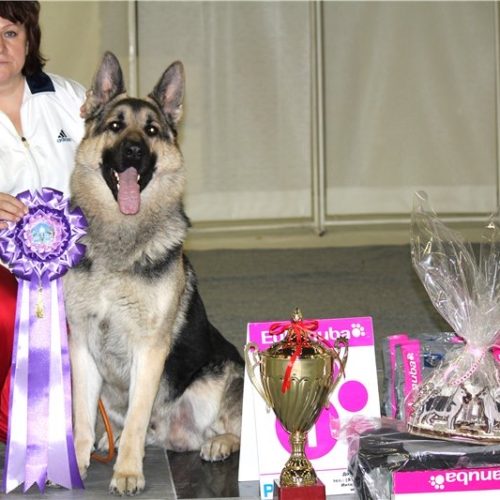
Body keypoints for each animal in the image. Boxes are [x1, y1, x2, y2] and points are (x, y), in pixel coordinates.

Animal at [64, 51, 244, 495]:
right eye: (115, 125)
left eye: (150, 131)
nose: (133, 151)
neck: (119, 249)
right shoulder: (82, 347)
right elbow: (80, 418)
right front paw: (77, 464)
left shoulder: (148, 351)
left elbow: (133, 423)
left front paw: (127, 472)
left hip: (222, 373)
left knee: (239, 427)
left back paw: (220, 441)